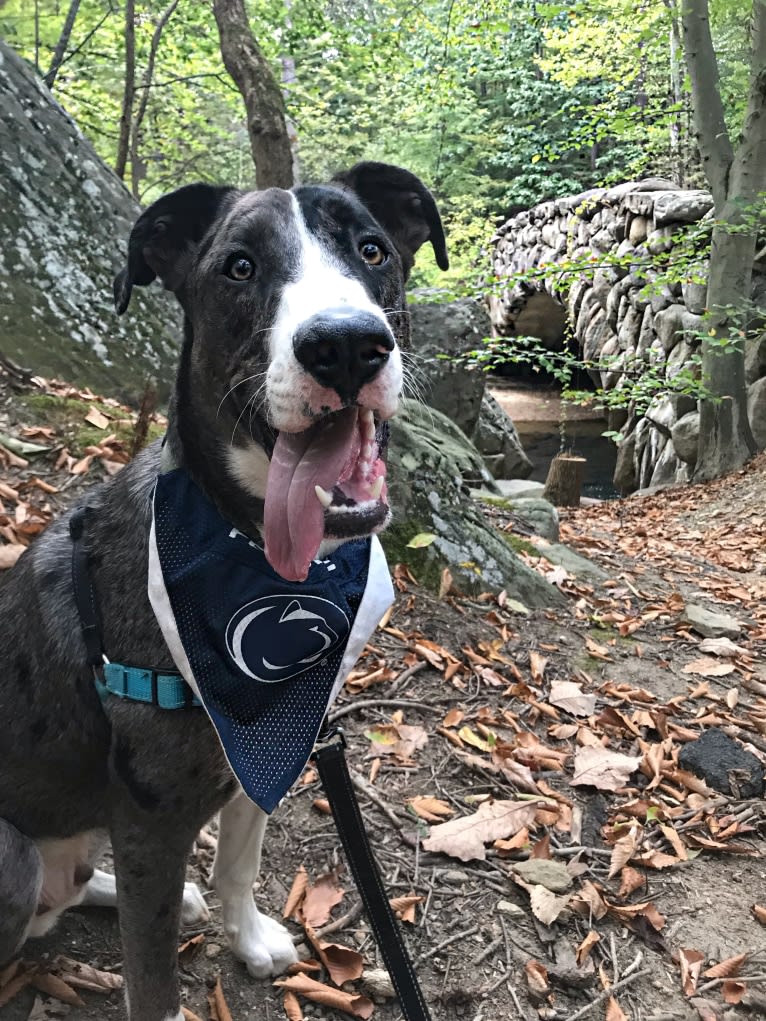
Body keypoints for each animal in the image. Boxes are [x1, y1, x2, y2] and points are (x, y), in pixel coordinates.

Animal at [0, 161, 449, 1021]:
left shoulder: (271, 739)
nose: (347, 345)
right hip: (13, 855)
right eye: (239, 267)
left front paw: (245, 936)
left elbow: (241, 856)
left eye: (372, 248)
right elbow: (150, 978)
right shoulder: (149, 819)